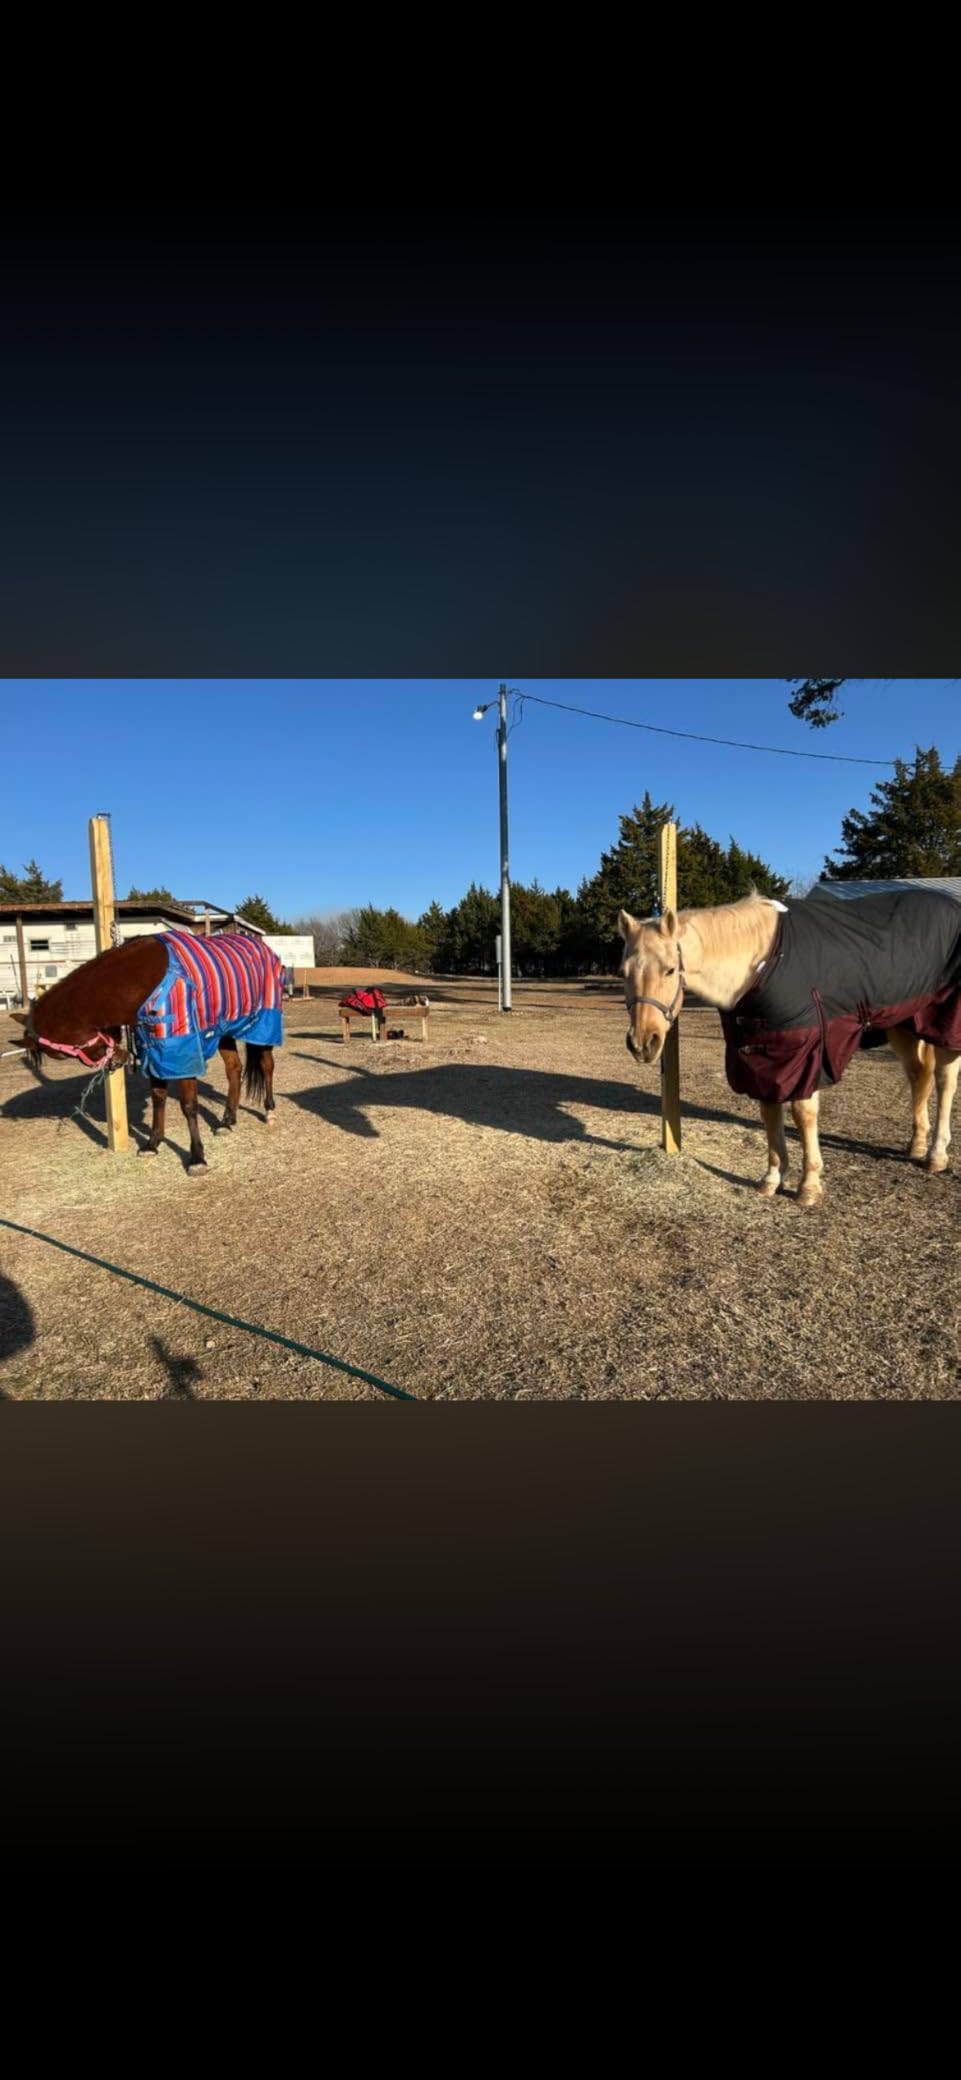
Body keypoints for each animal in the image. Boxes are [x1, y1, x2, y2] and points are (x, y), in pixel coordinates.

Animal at [11, 927, 286, 1175]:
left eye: (62, 1053)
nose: (117, 1060)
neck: (141, 979)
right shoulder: (154, 1050)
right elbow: (158, 1097)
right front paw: (153, 1143)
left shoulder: (180, 1049)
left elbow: (189, 1105)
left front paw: (197, 1158)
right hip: (224, 1029)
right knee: (234, 1070)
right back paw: (227, 1121)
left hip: (263, 1023)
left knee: (267, 1065)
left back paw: (270, 1111)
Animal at [618, 889, 961, 1207]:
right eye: (624, 972)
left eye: (669, 970)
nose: (643, 1043)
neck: (763, 964)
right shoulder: (762, 1055)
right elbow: (770, 1112)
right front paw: (772, 1177)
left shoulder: (807, 1053)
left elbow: (802, 1113)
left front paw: (809, 1185)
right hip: (902, 1026)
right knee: (919, 1076)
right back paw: (917, 1144)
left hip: (944, 1024)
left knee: (945, 1080)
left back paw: (936, 1154)